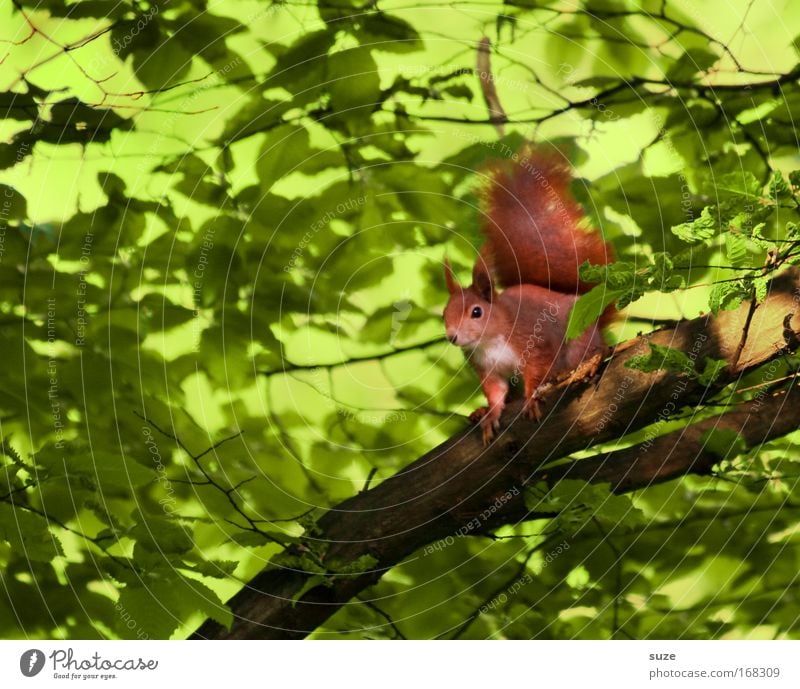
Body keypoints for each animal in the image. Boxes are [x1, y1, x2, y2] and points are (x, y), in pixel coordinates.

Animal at [440, 146, 616, 446]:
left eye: (476, 312)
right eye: (444, 313)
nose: (453, 337)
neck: (491, 339)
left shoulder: (534, 340)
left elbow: (537, 371)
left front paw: (532, 398)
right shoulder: (484, 365)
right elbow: (497, 391)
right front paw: (491, 414)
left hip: (579, 342)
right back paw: (479, 412)